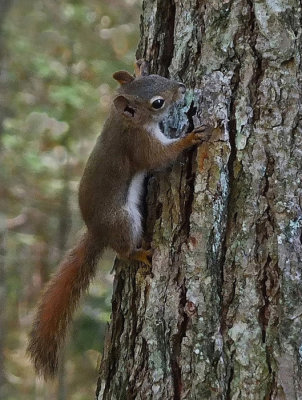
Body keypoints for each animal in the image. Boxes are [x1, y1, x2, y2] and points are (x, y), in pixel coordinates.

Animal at [27, 59, 212, 378]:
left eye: (156, 75)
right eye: (158, 103)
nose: (181, 87)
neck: (122, 121)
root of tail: (97, 232)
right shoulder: (139, 146)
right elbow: (159, 158)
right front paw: (190, 137)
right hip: (124, 220)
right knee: (123, 250)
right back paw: (141, 254)